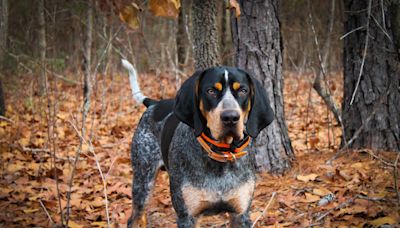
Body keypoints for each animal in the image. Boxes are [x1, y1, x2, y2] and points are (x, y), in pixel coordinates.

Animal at [120, 59, 274, 227]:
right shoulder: (187, 217)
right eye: (211, 91)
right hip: (142, 182)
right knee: (134, 217)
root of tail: (154, 104)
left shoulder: (241, 215)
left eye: (243, 91)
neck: (221, 155)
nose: (230, 117)